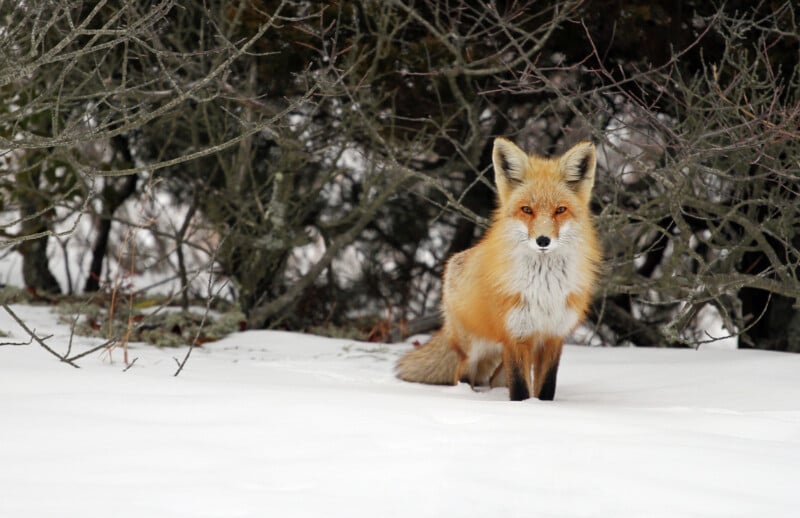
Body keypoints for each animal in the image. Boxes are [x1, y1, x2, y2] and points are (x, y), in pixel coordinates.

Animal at [396, 137, 601, 401]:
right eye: (527, 210)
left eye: (560, 210)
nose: (543, 240)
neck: (544, 289)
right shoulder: (515, 335)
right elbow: (521, 390)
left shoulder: (553, 337)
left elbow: (546, 389)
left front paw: (543, 408)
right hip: (475, 348)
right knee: (462, 375)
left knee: (494, 380)